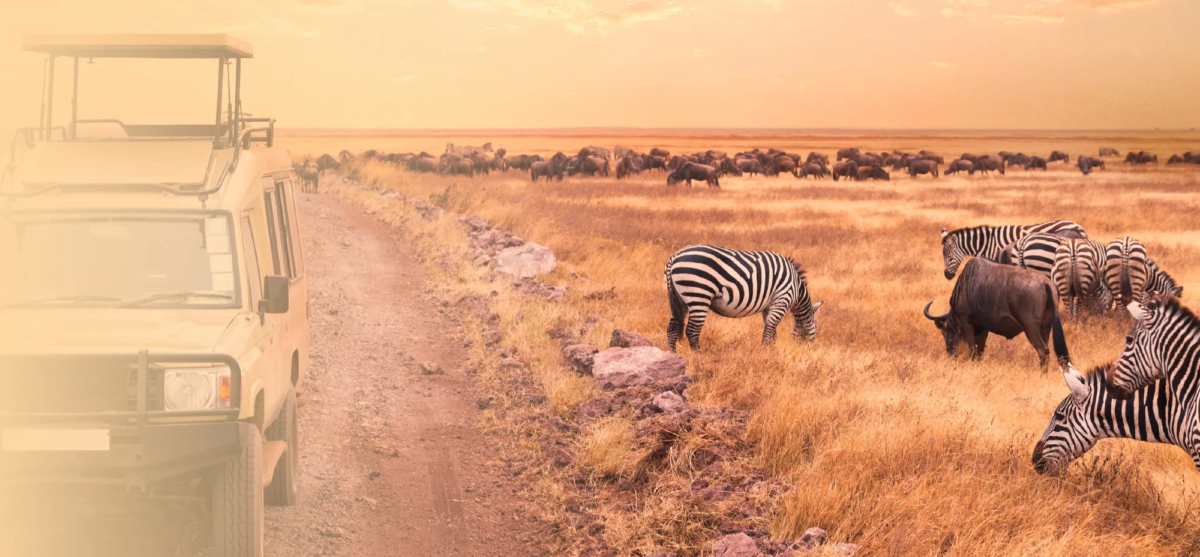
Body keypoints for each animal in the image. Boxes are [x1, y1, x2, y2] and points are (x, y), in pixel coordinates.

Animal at [667, 244, 825, 350]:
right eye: (816, 326)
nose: (805, 350)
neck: (797, 289)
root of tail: (674, 257)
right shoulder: (781, 300)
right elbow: (770, 329)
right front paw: (765, 353)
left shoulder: (769, 306)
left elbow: (771, 330)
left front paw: (771, 351)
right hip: (699, 294)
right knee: (692, 330)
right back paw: (699, 355)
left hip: (681, 299)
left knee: (672, 328)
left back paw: (673, 355)